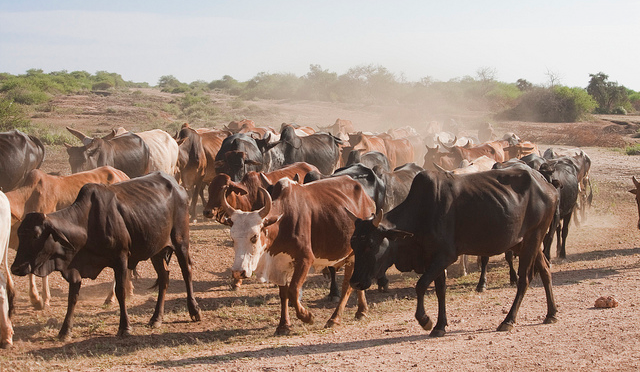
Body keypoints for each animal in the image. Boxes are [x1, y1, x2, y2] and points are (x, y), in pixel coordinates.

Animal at [13, 172, 202, 340]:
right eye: (19, 234)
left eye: (36, 235)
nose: (15, 268)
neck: (87, 224)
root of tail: (178, 186)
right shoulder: (75, 269)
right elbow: (72, 297)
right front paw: (65, 331)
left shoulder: (121, 258)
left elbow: (120, 291)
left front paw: (125, 327)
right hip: (156, 250)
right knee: (164, 277)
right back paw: (156, 318)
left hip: (181, 241)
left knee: (187, 271)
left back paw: (194, 310)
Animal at [348, 164, 556, 336]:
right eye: (354, 245)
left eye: (371, 244)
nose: (355, 282)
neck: (422, 214)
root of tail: (548, 185)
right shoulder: (433, 258)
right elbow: (440, 290)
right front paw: (440, 325)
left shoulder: (445, 256)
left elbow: (421, 285)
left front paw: (425, 320)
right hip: (525, 243)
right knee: (545, 269)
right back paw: (551, 313)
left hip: (533, 238)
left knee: (524, 279)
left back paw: (509, 320)